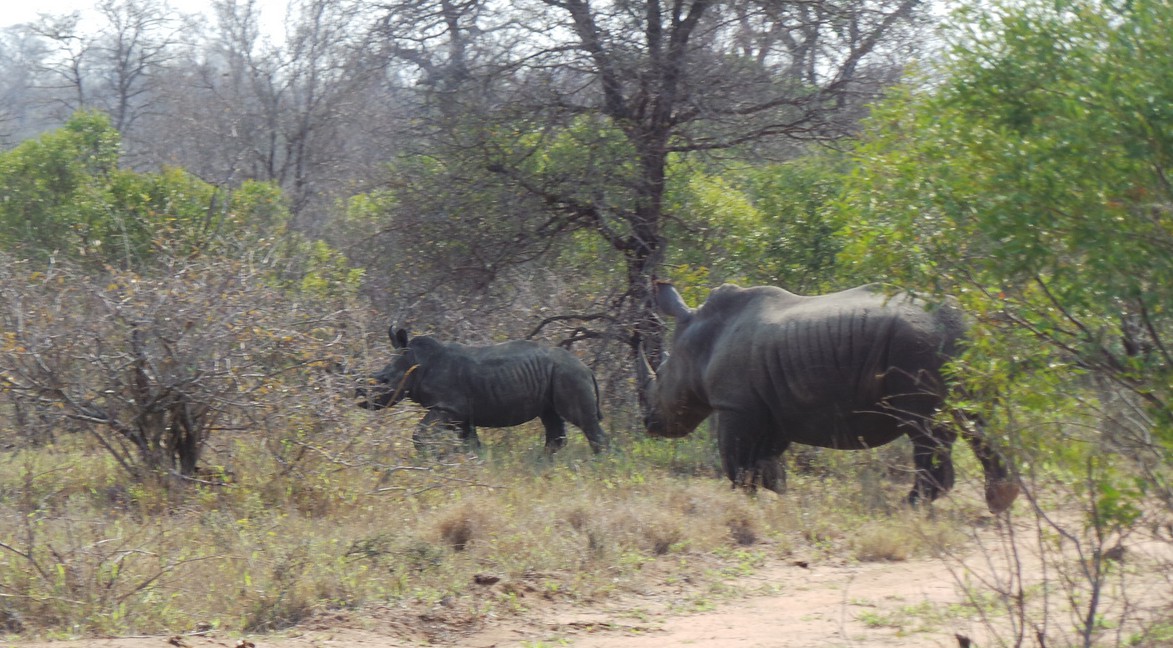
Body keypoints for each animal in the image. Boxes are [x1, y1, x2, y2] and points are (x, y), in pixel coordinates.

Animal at [357, 326, 608, 454]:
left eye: (385, 380)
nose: (359, 398)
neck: (415, 361)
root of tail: (587, 368)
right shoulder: (460, 413)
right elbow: (471, 442)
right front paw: (474, 462)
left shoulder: (448, 407)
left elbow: (419, 433)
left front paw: (431, 459)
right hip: (556, 375)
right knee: (551, 419)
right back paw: (545, 464)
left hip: (569, 373)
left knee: (583, 422)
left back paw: (599, 464)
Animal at [640, 281, 1018, 513]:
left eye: (661, 376)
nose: (649, 424)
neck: (700, 339)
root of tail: (966, 324)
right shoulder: (772, 408)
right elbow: (766, 462)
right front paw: (779, 494)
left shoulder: (736, 406)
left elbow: (737, 462)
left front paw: (745, 502)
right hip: (959, 350)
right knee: (978, 423)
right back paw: (1000, 502)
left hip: (918, 348)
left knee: (924, 430)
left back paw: (907, 508)